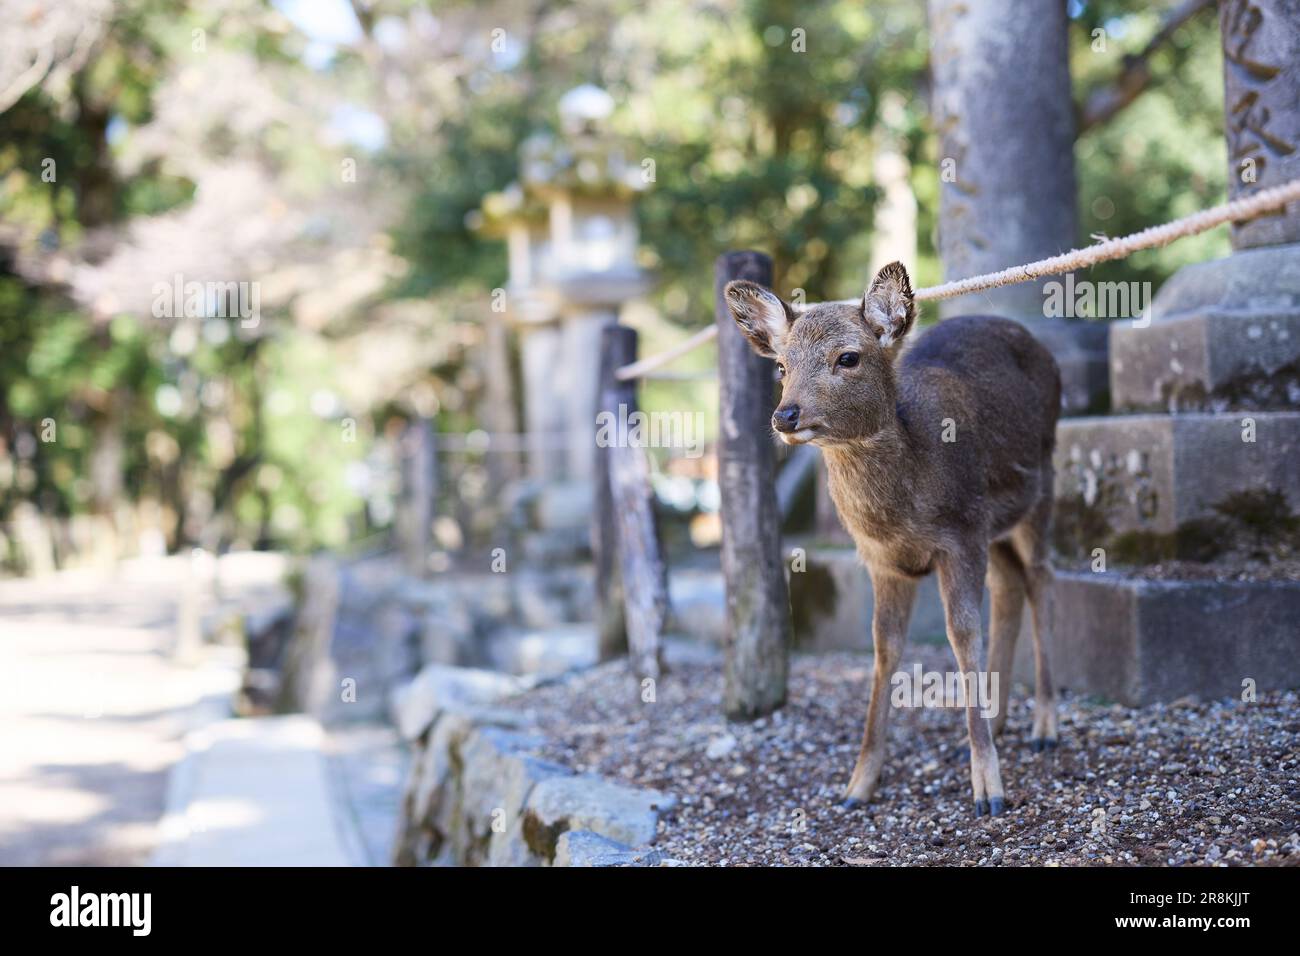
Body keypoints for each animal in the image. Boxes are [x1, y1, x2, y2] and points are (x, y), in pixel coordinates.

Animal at [728, 260, 1060, 816]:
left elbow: (962, 636)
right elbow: (885, 647)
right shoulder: (883, 560)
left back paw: (1045, 729)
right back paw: (998, 724)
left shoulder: (961, 533)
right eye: (781, 366)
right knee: (1010, 585)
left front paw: (989, 790)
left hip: (1043, 480)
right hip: (997, 525)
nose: (785, 415)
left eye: (848, 357)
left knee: (1040, 579)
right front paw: (858, 785)